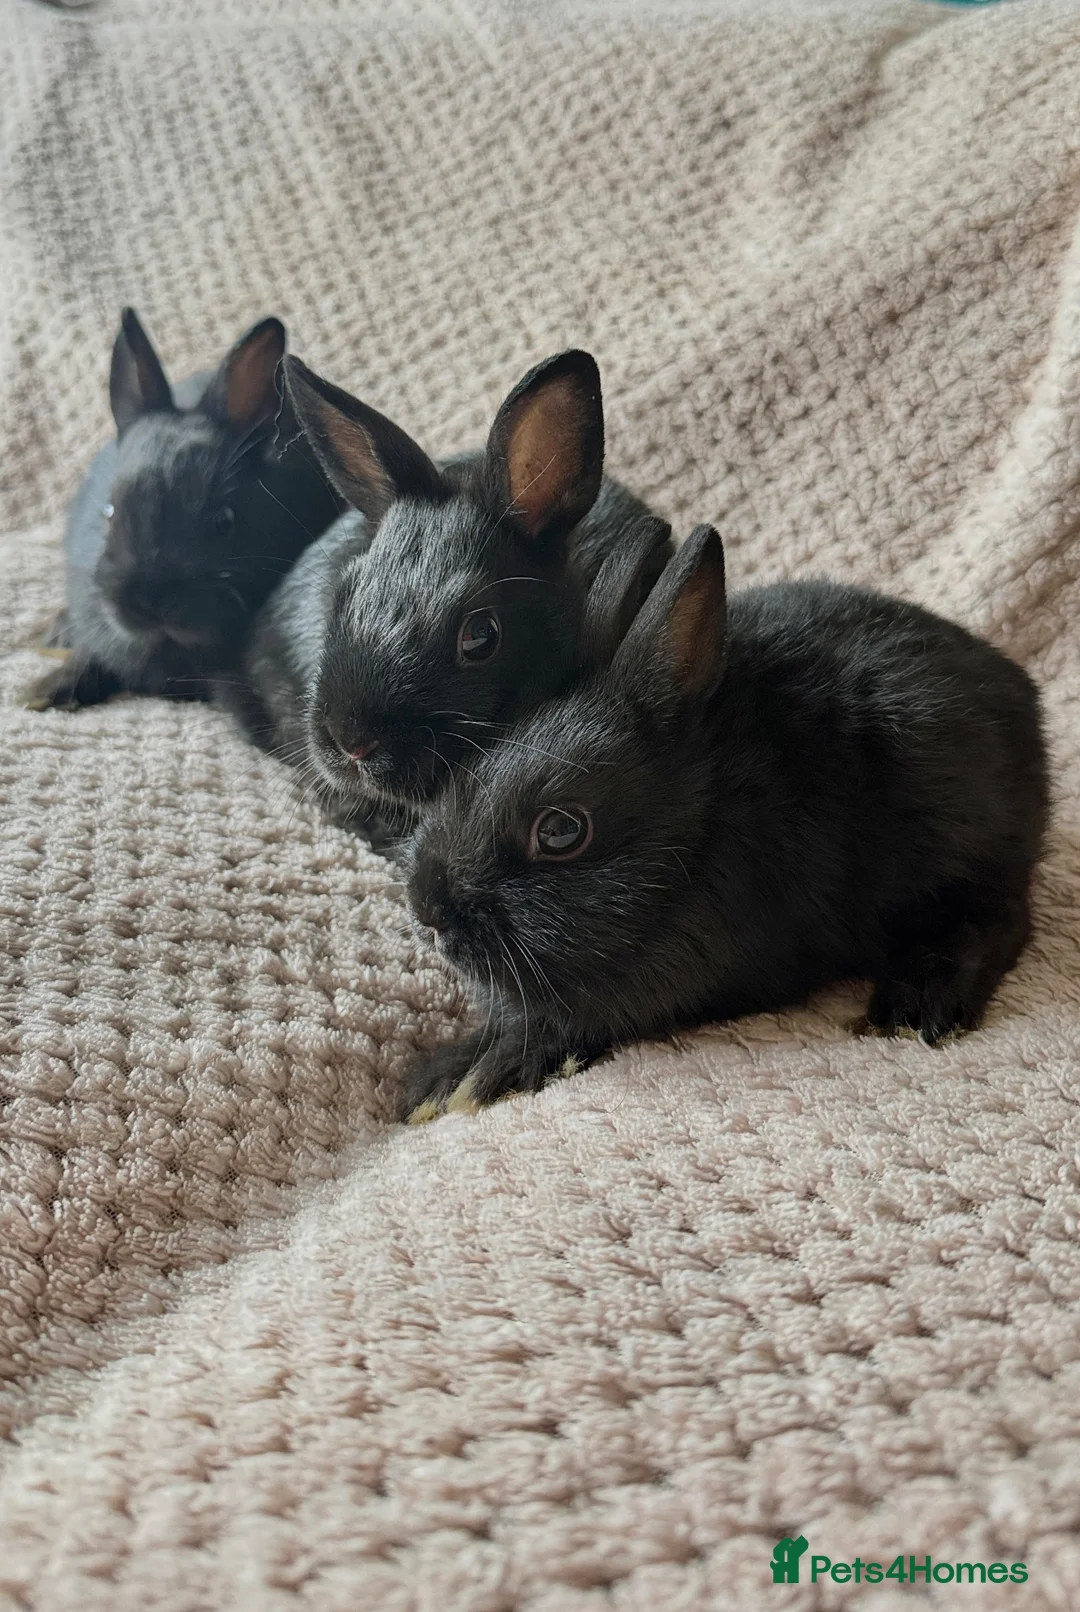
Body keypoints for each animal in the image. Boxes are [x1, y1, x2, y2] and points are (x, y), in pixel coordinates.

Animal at [402, 523, 1050, 1115]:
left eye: (561, 830)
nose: (427, 908)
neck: (695, 829)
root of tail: (1023, 697)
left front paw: (483, 1073)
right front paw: (438, 1078)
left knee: (1001, 918)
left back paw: (916, 1006)